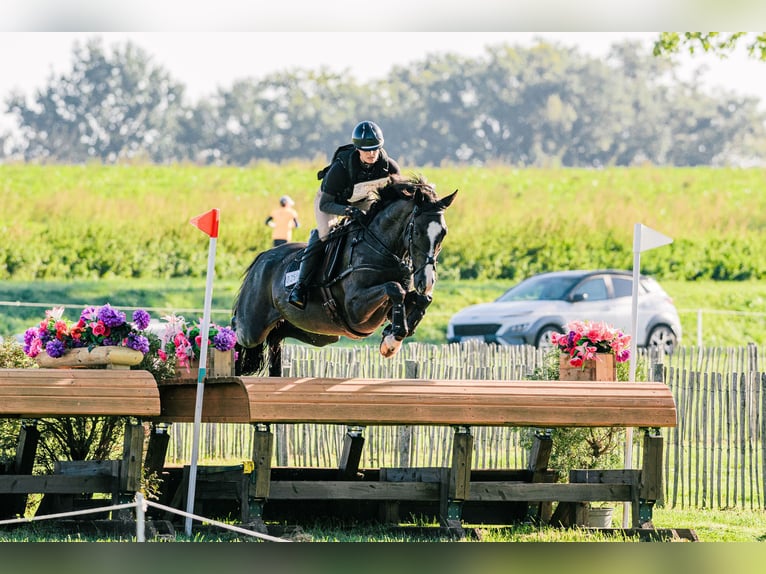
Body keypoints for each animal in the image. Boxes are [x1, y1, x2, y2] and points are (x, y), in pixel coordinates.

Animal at [234, 178, 460, 380]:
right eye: (418, 231)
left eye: (443, 234)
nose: (427, 282)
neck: (379, 248)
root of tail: (262, 258)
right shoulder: (355, 308)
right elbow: (394, 289)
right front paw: (392, 342)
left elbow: (419, 298)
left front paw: (393, 334)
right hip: (251, 330)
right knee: (237, 335)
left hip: (315, 333)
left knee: (276, 339)